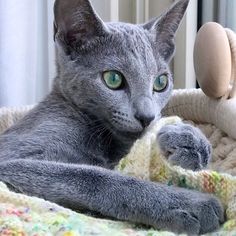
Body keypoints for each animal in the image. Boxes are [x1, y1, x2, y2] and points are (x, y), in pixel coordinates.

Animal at [0, 0, 225, 234]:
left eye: (161, 82)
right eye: (113, 79)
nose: (146, 116)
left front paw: (190, 142)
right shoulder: (11, 161)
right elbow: (93, 176)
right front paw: (190, 204)